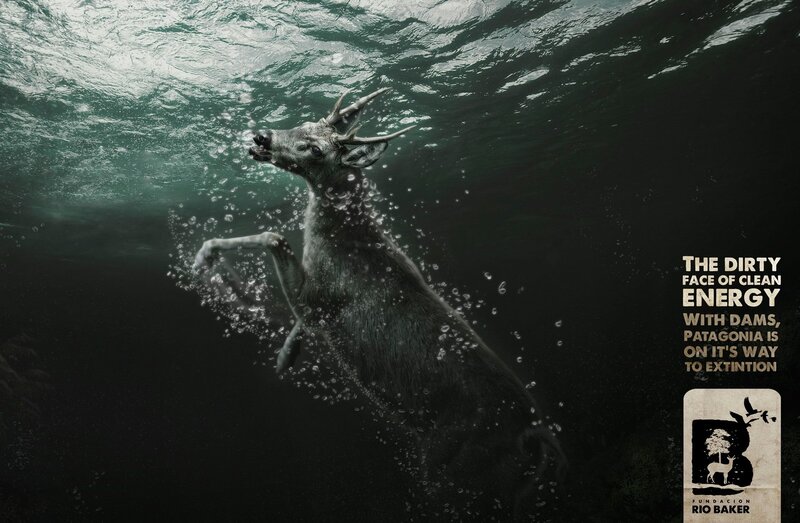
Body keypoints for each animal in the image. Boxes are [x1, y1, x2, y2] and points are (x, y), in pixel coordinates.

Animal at [192, 87, 565, 518]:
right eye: (303, 122)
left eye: (315, 149)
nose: (262, 137)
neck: (347, 236)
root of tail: (536, 440)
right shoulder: (314, 304)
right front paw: (285, 355)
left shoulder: (319, 301)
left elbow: (273, 237)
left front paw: (208, 260)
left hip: (457, 472)